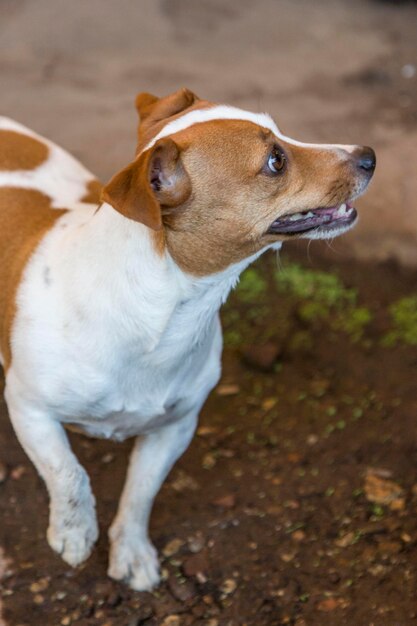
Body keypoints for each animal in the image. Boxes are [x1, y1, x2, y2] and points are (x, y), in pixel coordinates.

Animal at [0, 88, 376, 588]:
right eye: (275, 161)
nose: (369, 155)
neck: (157, 319)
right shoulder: (30, 410)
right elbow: (69, 473)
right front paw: (74, 531)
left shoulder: (175, 428)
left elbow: (140, 494)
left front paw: (131, 551)